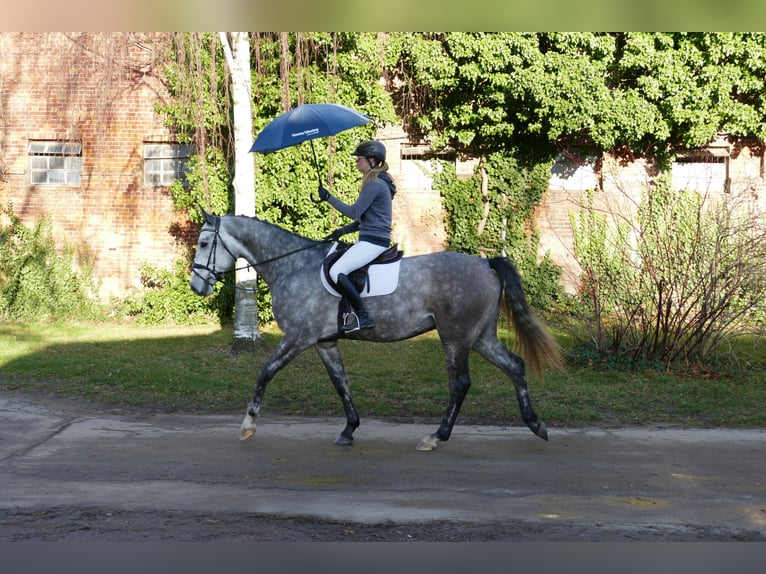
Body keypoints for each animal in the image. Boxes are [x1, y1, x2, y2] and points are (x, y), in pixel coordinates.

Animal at [190, 210, 564, 451]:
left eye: (205, 243)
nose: (196, 286)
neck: (292, 265)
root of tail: (484, 263)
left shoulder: (298, 338)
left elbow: (265, 372)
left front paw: (248, 425)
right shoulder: (324, 342)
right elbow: (341, 383)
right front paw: (349, 429)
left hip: (455, 338)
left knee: (460, 384)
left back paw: (437, 437)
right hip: (480, 336)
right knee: (515, 366)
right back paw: (536, 424)